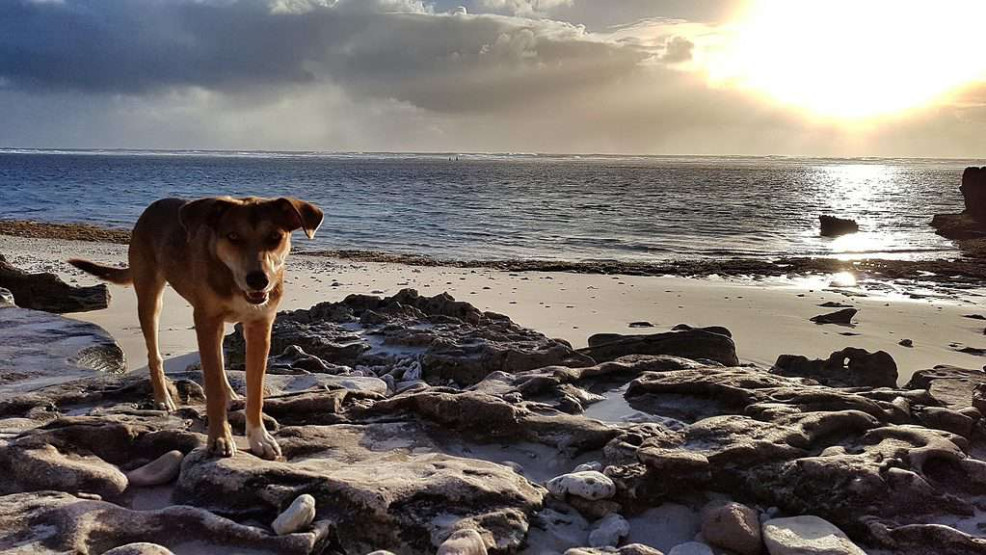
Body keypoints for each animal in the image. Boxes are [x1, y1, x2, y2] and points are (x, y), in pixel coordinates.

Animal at [70, 198, 322, 458]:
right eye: (233, 236)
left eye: (275, 236)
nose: (258, 280)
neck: (232, 280)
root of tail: (153, 207)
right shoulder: (206, 321)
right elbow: (213, 387)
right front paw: (220, 438)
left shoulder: (259, 327)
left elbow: (255, 390)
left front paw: (259, 438)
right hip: (151, 298)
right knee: (155, 354)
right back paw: (163, 398)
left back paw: (231, 395)